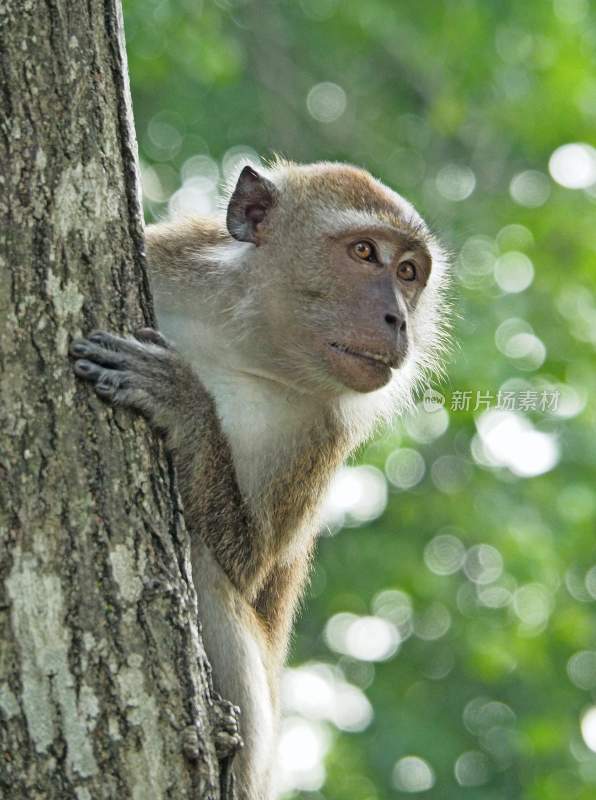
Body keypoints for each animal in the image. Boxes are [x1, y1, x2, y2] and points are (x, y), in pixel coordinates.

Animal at [70, 159, 450, 796]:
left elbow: (247, 566)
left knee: (205, 564)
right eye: (364, 251)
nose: (398, 318)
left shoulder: (319, 429)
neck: (246, 342)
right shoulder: (173, 255)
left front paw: (185, 405)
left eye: (408, 272)